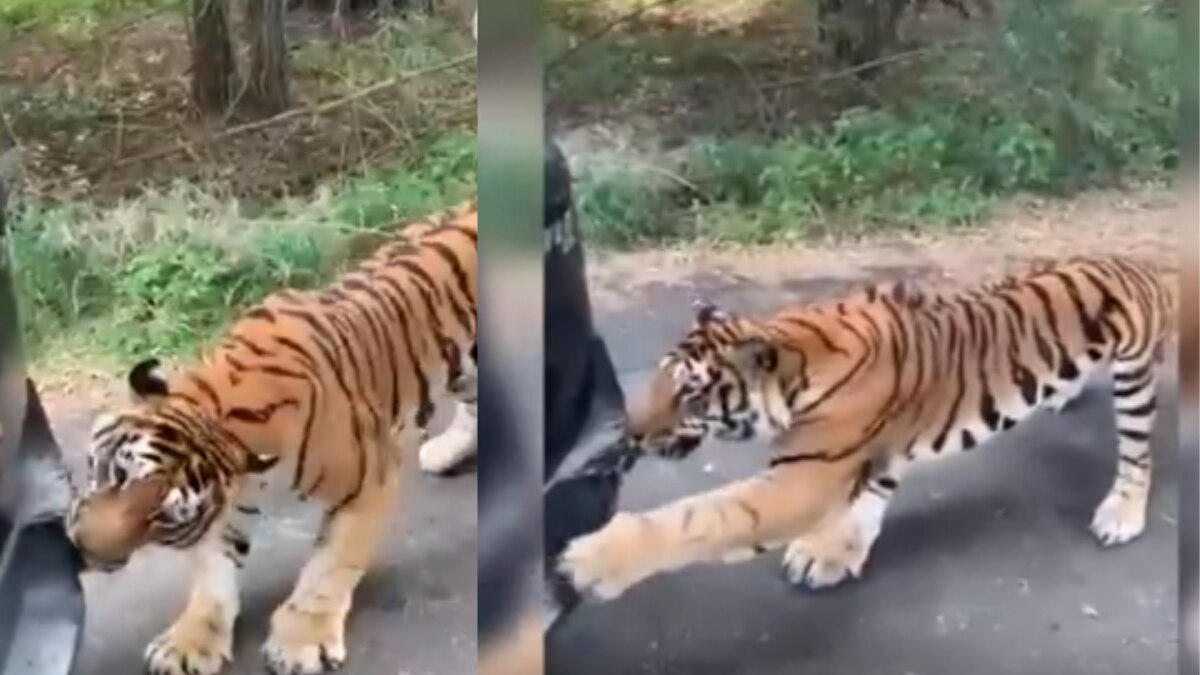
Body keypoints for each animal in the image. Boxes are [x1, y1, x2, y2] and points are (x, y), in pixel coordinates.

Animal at [64, 198, 478, 675]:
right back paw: (445, 452)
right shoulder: (226, 507)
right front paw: (190, 642)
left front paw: (303, 640)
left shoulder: (369, 480)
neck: (222, 413)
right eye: (117, 474)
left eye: (161, 518)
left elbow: (329, 566)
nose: (85, 551)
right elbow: (215, 575)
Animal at [557, 255, 1174, 602]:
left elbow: (700, 518)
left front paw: (592, 560)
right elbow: (870, 498)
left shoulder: (803, 477)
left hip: (1133, 377)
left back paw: (1121, 515)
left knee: (1139, 454)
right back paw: (1063, 394)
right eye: (659, 380)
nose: (630, 432)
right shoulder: (876, 446)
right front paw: (832, 553)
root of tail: (1135, 263)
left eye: (688, 392)